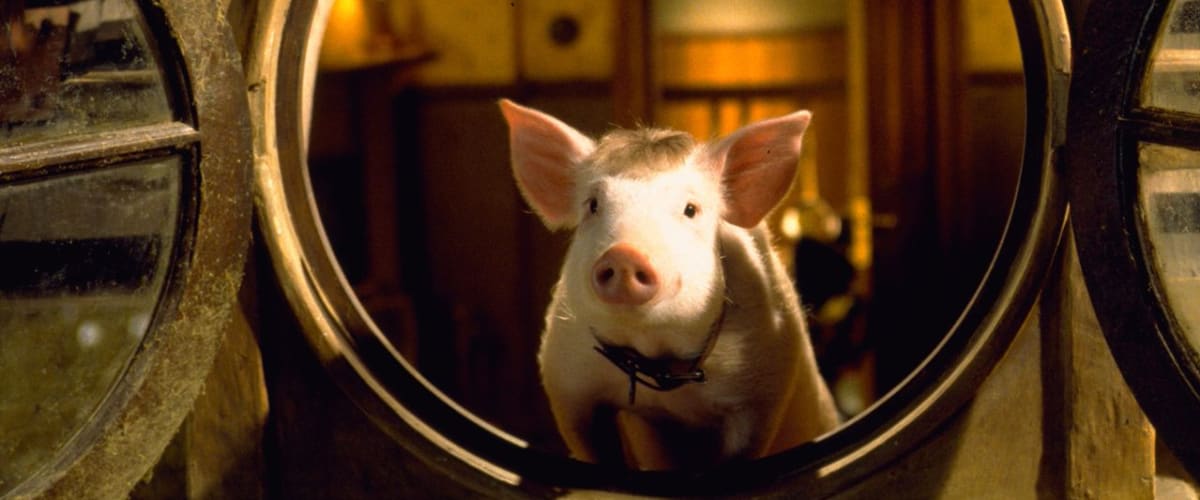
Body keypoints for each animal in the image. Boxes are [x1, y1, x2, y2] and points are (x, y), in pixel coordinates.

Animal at [499, 99, 840, 470]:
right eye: (593, 205)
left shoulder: (763, 389)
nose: (625, 253)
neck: (658, 363)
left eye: (690, 209)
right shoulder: (566, 380)